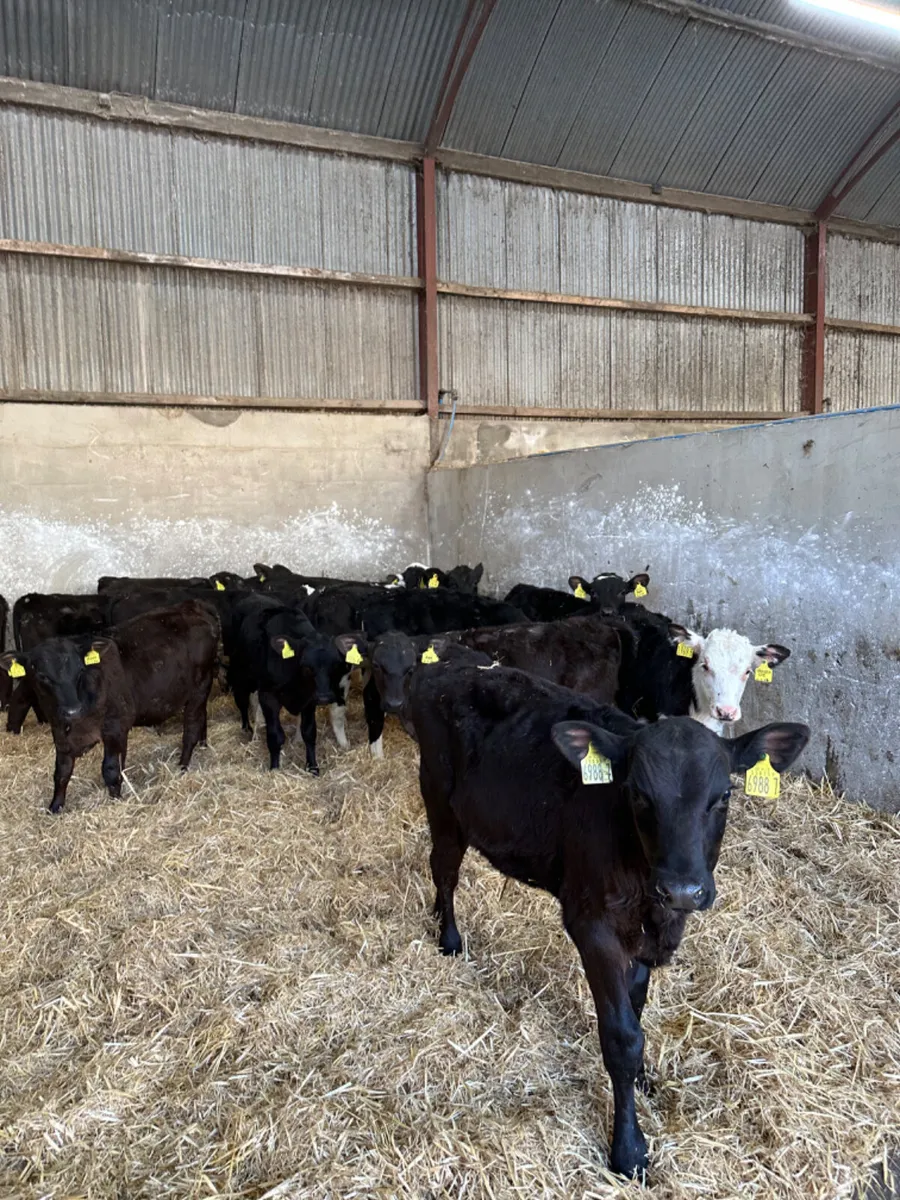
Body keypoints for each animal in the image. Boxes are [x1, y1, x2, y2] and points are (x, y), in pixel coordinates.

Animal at [0, 600, 219, 813]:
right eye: (42, 676)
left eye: (80, 670)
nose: (73, 710)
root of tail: (193, 605)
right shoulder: (60, 733)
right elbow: (61, 772)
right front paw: (55, 807)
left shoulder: (114, 727)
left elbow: (111, 769)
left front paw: (116, 800)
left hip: (199, 689)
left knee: (191, 727)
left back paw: (182, 766)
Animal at [405, 661, 809, 1178]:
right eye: (637, 794)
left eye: (723, 795)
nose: (682, 889)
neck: (649, 896)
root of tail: (445, 666)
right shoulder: (592, 926)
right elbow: (620, 1037)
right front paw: (629, 1149)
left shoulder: (647, 937)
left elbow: (636, 1013)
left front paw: (643, 1080)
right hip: (440, 798)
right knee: (444, 867)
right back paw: (450, 938)